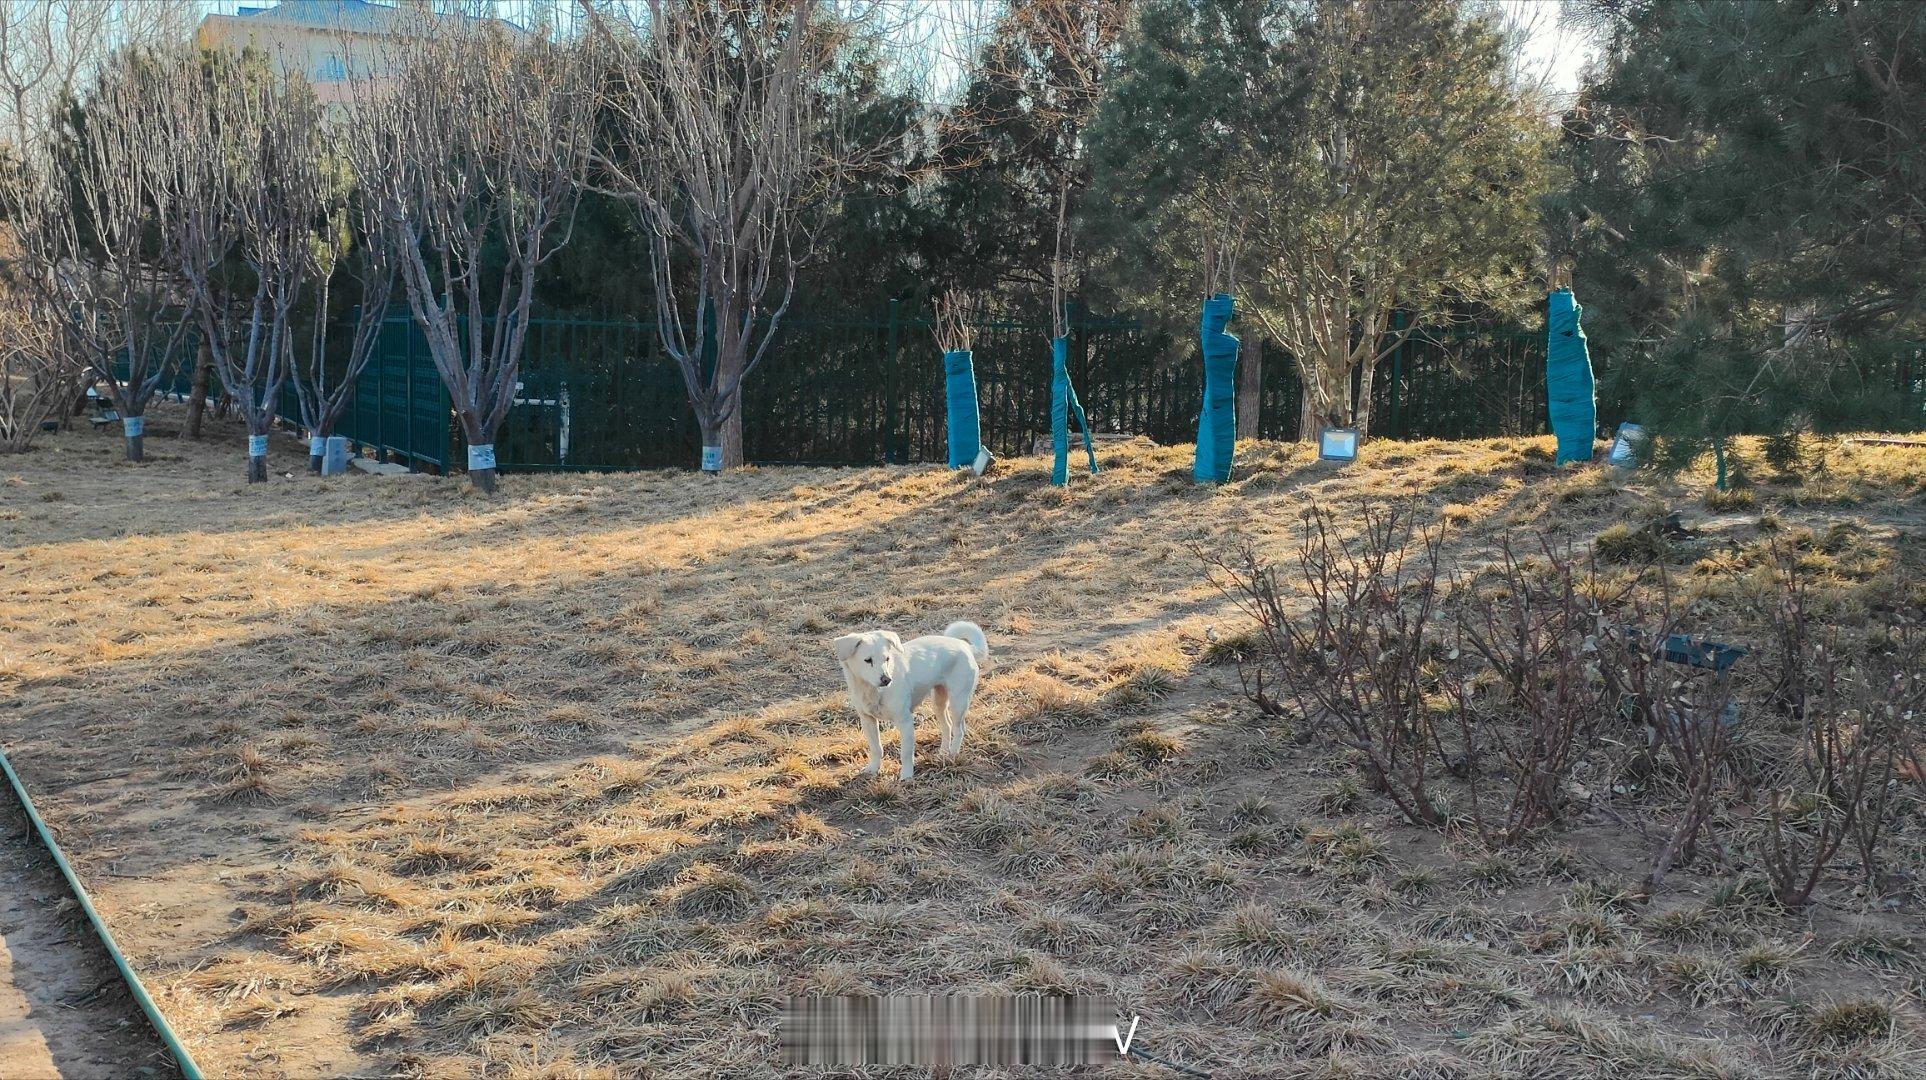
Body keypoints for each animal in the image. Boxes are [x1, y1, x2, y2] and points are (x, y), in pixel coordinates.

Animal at [832, 619, 993, 777]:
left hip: (958, 702)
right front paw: (873, 769)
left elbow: (906, 754)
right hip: (939, 702)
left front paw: (907, 776)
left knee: (959, 730)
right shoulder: (868, 720)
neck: (872, 690)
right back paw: (942, 754)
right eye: (868, 660)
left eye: (887, 659)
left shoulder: (905, 721)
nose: (887, 680)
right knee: (947, 726)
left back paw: (952, 755)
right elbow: (876, 748)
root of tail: (966, 646)